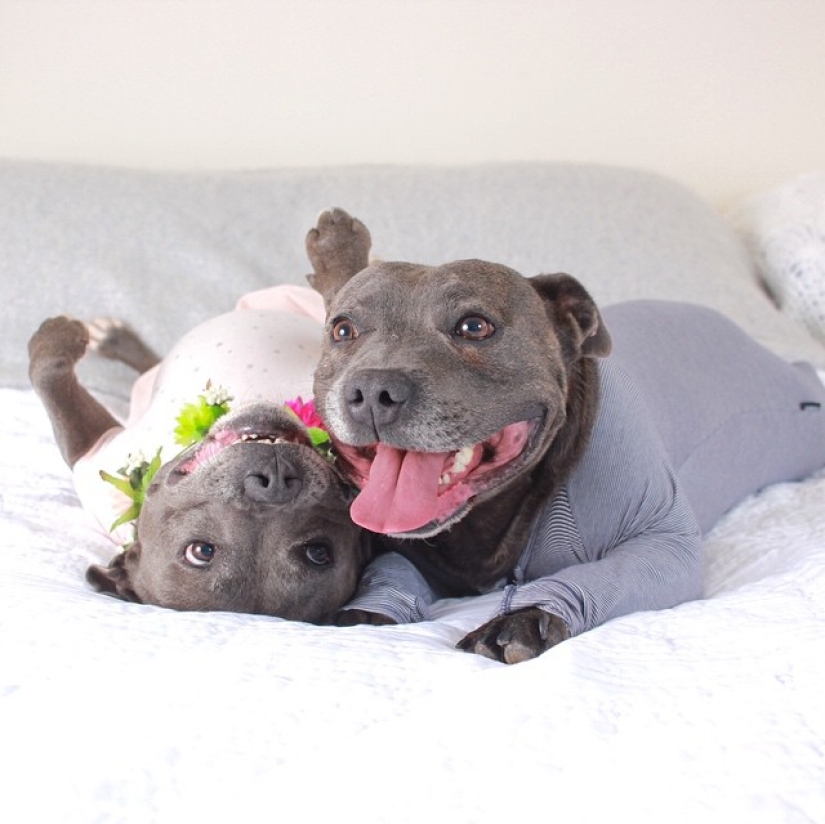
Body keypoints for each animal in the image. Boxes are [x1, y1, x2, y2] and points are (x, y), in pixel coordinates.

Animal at [302, 208, 824, 664]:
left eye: (474, 325)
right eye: (342, 329)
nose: (373, 390)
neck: (488, 515)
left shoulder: (666, 544)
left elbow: (606, 574)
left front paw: (526, 616)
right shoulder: (409, 550)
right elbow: (392, 570)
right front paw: (366, 610)